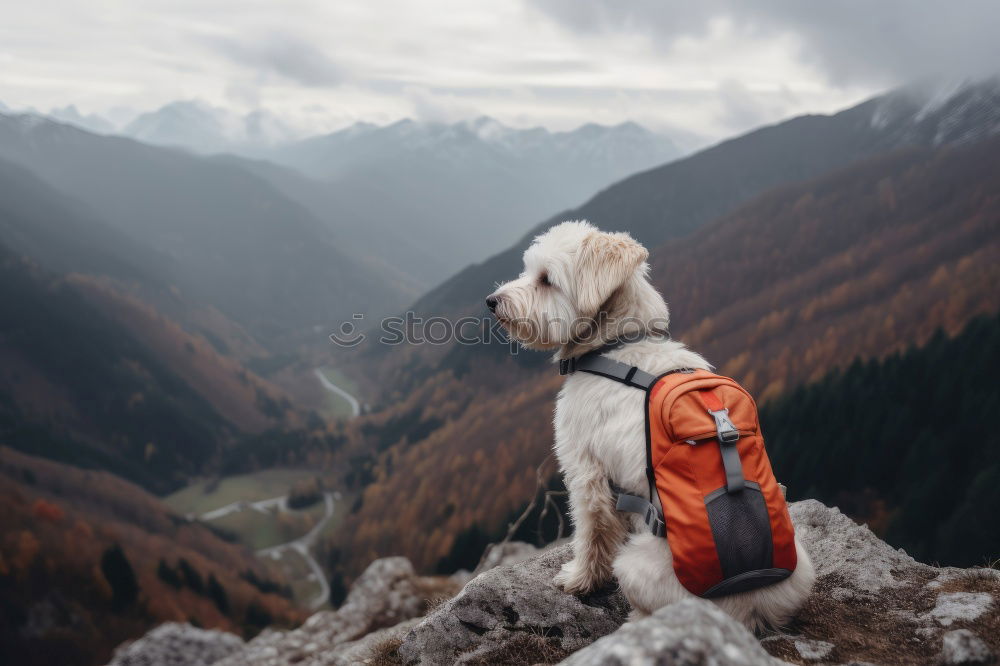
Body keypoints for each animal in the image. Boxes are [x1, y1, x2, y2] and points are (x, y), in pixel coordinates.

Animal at [488, 222, 816, 628]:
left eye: (546, 279)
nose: (491, 300)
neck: (614, 347)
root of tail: (749, 609)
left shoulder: (585, 470)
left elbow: (592, 532)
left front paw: (579, 579)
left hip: (634, 565)